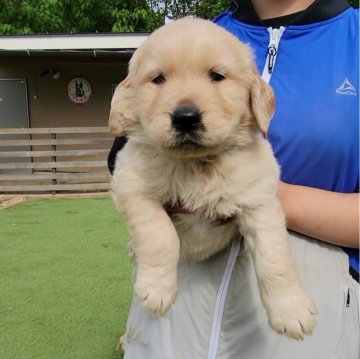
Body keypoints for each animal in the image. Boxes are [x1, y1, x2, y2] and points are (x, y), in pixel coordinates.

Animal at [109, 18, 316, 342]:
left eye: (217, 76)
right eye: (158, 79)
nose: (185, 118)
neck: (197, 164)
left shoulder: (260, 201)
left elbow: (275, 256)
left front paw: (291, 310)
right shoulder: (131, 183)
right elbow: (160, 235)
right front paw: (157, 289)